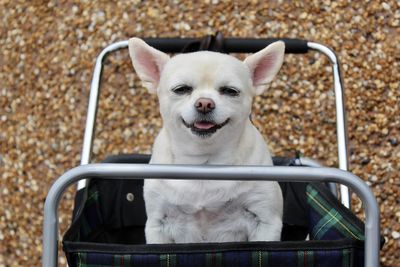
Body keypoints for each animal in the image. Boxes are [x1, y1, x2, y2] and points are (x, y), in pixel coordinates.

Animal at [128, 37, 284, 245]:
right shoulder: (157, 225)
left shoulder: (265, 221)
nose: (204, 103)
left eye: (230, 91)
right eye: (181, 89)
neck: (204, 164)